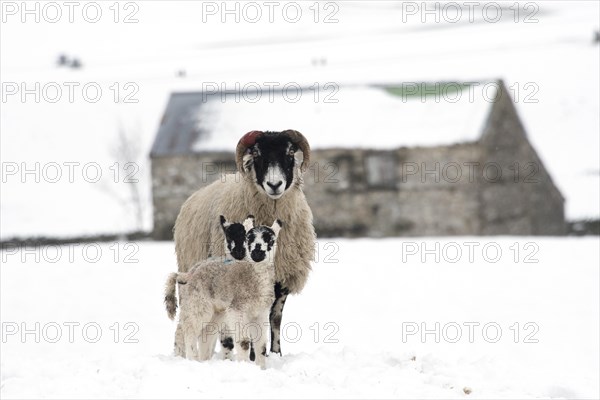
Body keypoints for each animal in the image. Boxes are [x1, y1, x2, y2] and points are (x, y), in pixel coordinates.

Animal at [172, 130, 316, 354]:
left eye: (290, 152)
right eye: (256, 153)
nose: (274, 185)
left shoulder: (282, 279)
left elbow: (275, 319)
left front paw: (275, 353)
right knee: (189, 324)